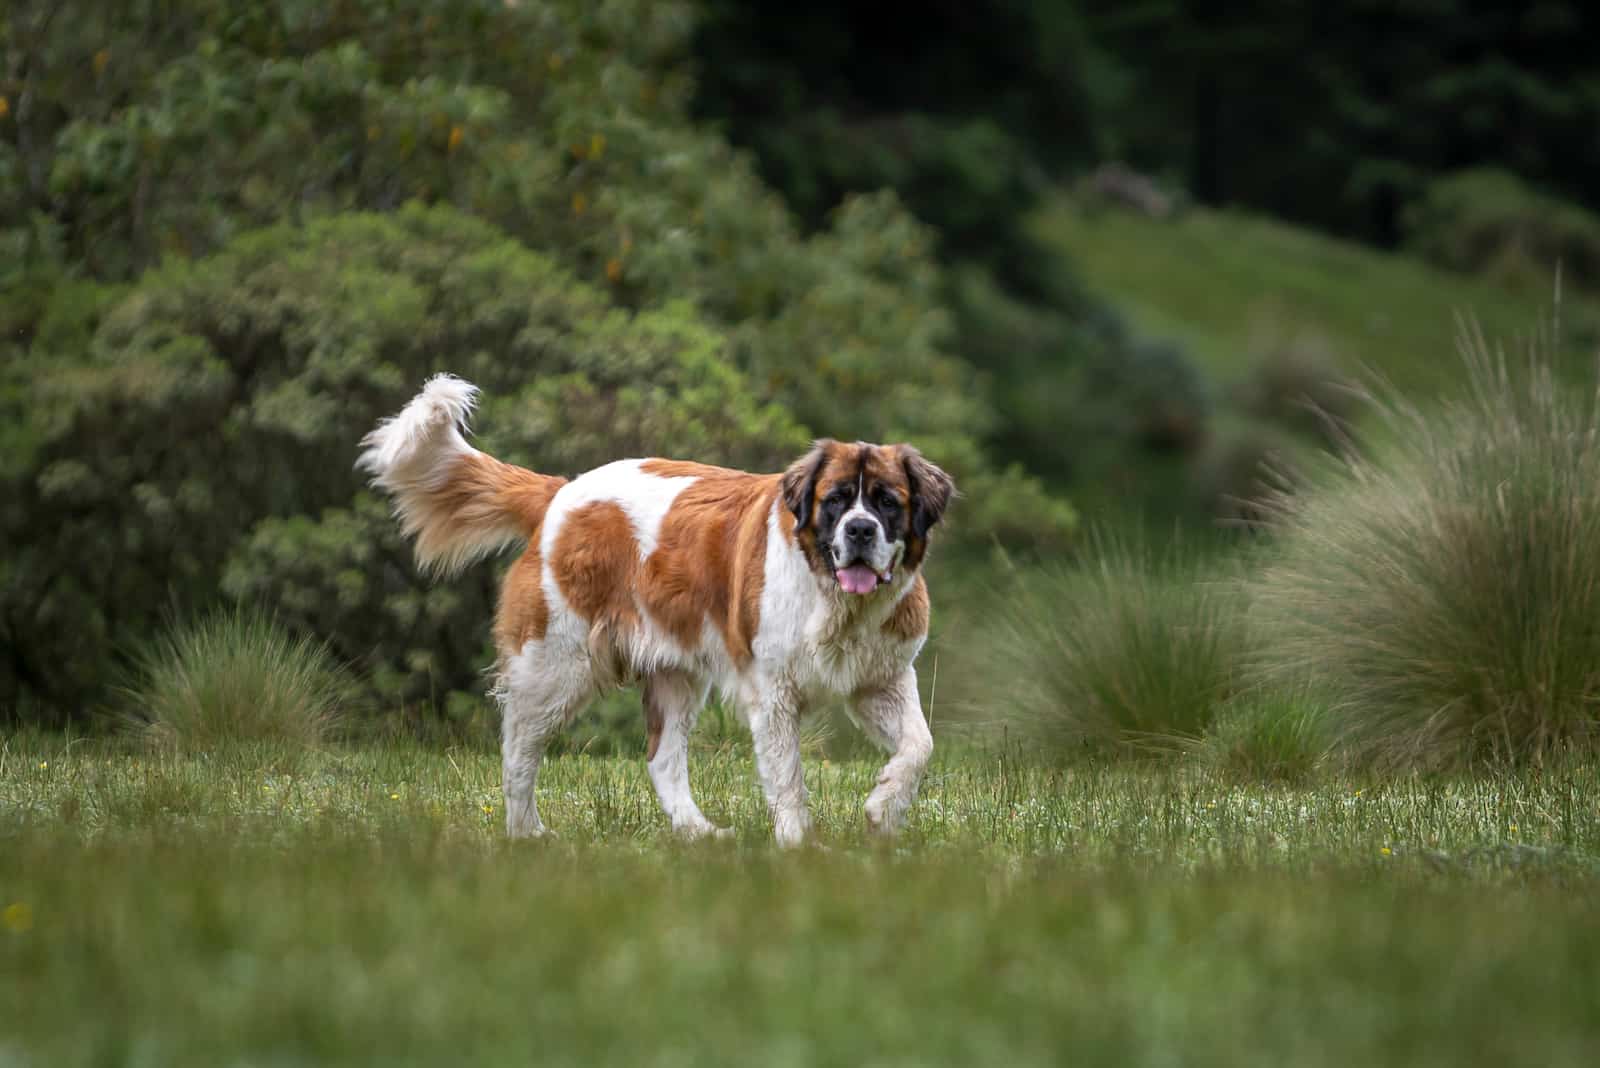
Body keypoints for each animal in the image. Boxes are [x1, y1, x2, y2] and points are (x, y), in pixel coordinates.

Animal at [363, 374, 947, 844]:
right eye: (836, 500)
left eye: (887, 502)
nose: (860, 529)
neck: (835, 601)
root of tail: (561, 493)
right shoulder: (773, 693)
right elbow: (788, 778)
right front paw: (799, 845)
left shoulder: (883, 679)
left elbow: (919, 745)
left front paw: (883, 810)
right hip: (555, 666)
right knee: (519, 749)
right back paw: (526, 832)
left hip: (675, 674)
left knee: (662, 759)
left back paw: (697, 833)